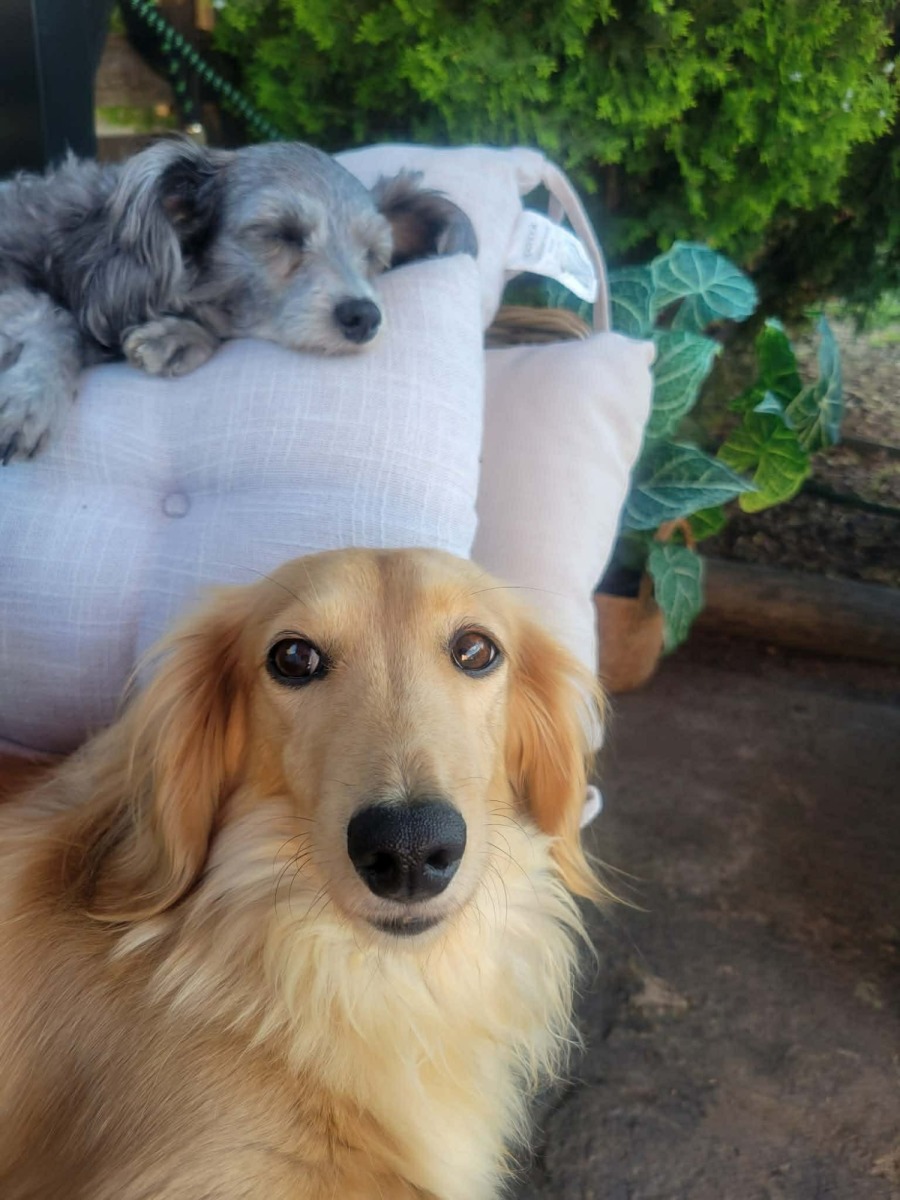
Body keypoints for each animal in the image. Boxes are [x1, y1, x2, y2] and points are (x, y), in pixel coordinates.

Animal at [0, 138, 477, 462]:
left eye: (374, 256)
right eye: (280, 234)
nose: (364, 316)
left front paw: (179, 336)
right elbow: (54, 320)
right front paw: (32, 398)